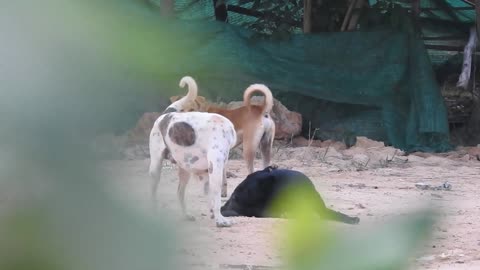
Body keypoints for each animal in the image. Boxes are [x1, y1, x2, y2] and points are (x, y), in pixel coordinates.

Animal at [147, 79, 235, 227]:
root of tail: (165, 114)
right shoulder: (215, 169)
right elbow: (216, 198)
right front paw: (220, 219)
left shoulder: (208, 172)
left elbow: (210, 198)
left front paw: (214, 214)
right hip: (155, 169)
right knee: (152, 195)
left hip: (185, 171)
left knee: (179, 193)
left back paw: (186, 215)